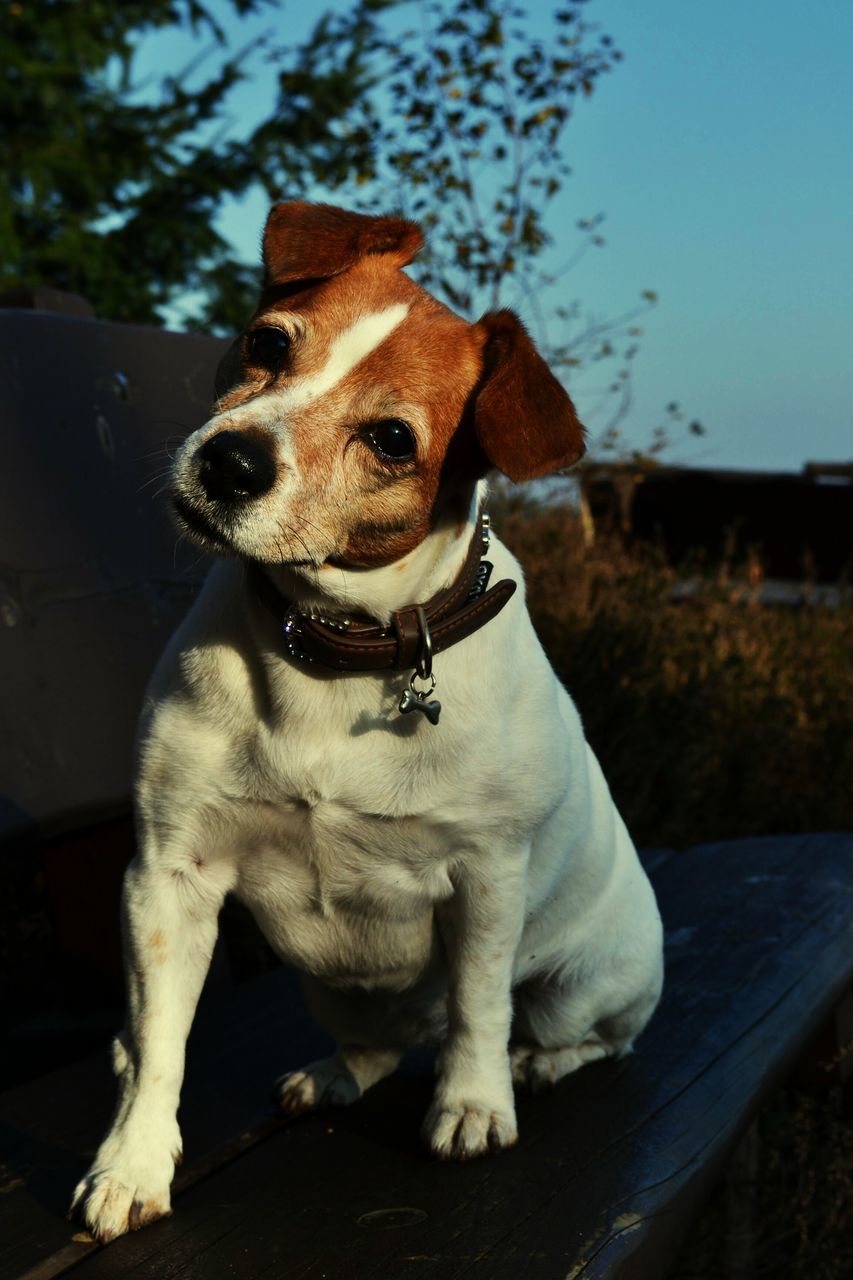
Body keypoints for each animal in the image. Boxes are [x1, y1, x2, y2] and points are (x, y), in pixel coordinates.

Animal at [69, 199, 660, 1239]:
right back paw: (334, 1075)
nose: (228, 462)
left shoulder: (486, 880)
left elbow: (477, 1005)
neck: (331, 650)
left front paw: (472, 1106)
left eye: (391, 438)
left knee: (573, 1036)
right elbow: (159, 1040)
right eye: (268, 342)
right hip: (331, 987)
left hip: (583, 985)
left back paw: (530, 1066)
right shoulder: (168, 875)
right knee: (377, 1047)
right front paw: (132, 1162)